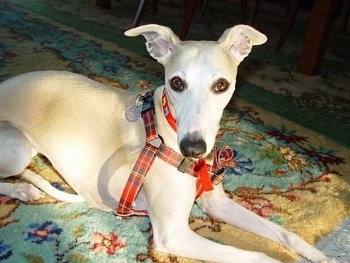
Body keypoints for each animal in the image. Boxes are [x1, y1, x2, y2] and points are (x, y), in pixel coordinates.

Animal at [0, 24, 334, 263]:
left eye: (221, 85)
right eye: (176, 83)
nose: (193, 148)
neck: (166, 131)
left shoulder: (216, 203)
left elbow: (286, 235)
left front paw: (320, 256)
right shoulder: (173, 235)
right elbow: (260, 256)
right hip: (17, 146)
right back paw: (21, 190)